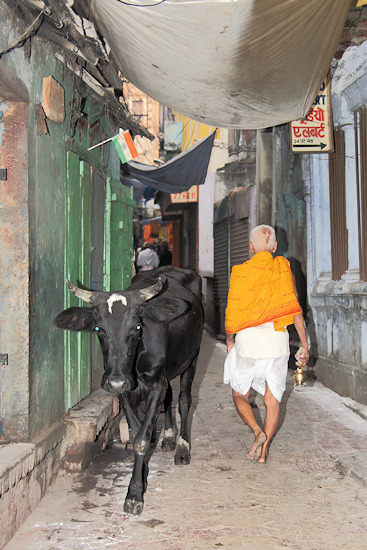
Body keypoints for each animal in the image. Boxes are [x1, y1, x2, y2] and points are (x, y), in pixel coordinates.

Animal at [54, 268, 204, 516]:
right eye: (98, 329)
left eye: (137, 327)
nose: (116, 379)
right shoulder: (125, 389)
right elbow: (135, 433)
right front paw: (142, 475)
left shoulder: (155, 384)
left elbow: (142, 439)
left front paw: (134, 494)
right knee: (170, 398)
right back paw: (169, 437)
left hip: (193, 357)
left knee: (184, 399)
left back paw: (182, 448)